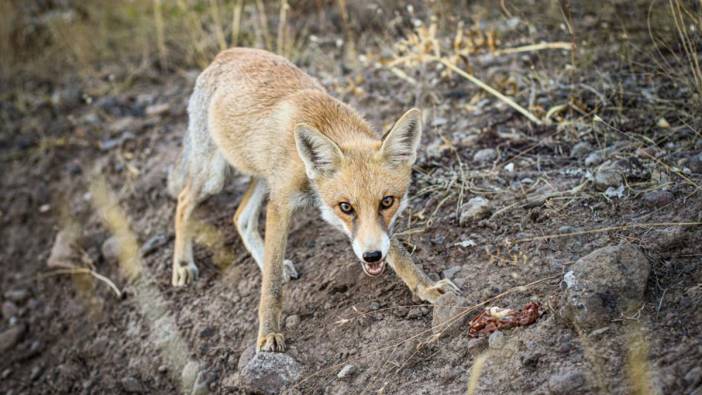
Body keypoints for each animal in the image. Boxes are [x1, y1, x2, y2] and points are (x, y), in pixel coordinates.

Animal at [167, 47, 460, 352]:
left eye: (387, 202)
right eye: (346, 207)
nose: (371, 256)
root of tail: (225, 53)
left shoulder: (374, 232)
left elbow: (401, 256)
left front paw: (428, 288)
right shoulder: (280, 205)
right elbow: (271, 287)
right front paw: (269, 332)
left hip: (263, 177)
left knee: (240, 217)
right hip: (216, 177)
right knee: (185, 202)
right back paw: (183, 264)